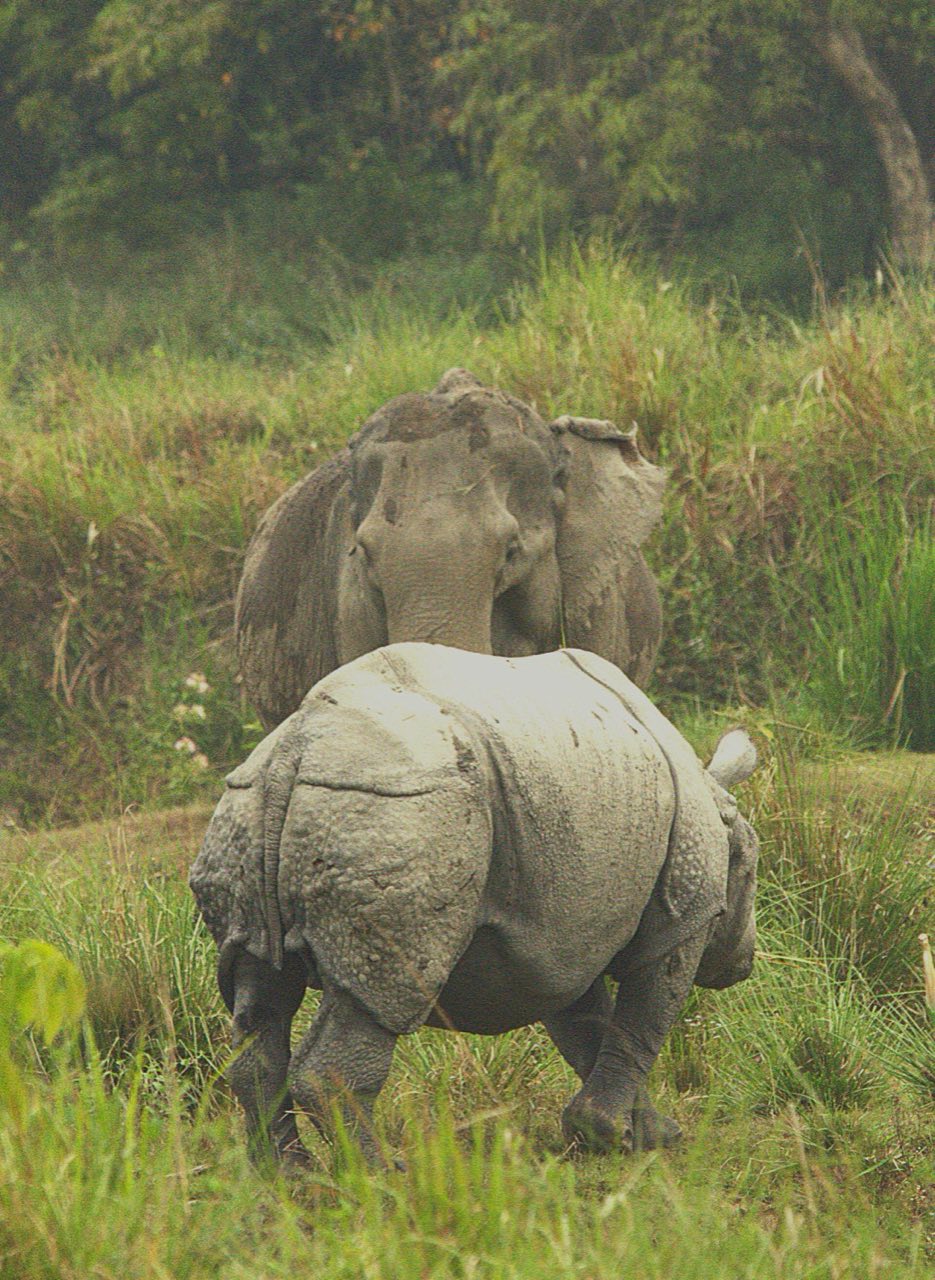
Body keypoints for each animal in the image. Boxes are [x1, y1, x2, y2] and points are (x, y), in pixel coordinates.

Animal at [190, 642, 759, 1166]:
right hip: (401, 809)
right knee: (377, 995)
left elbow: (587, 1028)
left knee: (258, 991)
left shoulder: (557, 936)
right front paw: (623, 1138)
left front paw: (645, 1133)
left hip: (250, 810)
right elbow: (642, 1021)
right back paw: (382, 1176)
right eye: (751, 869)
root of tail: (294, 750)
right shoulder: (684, 914)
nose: (742, 964)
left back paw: (290, 1178)